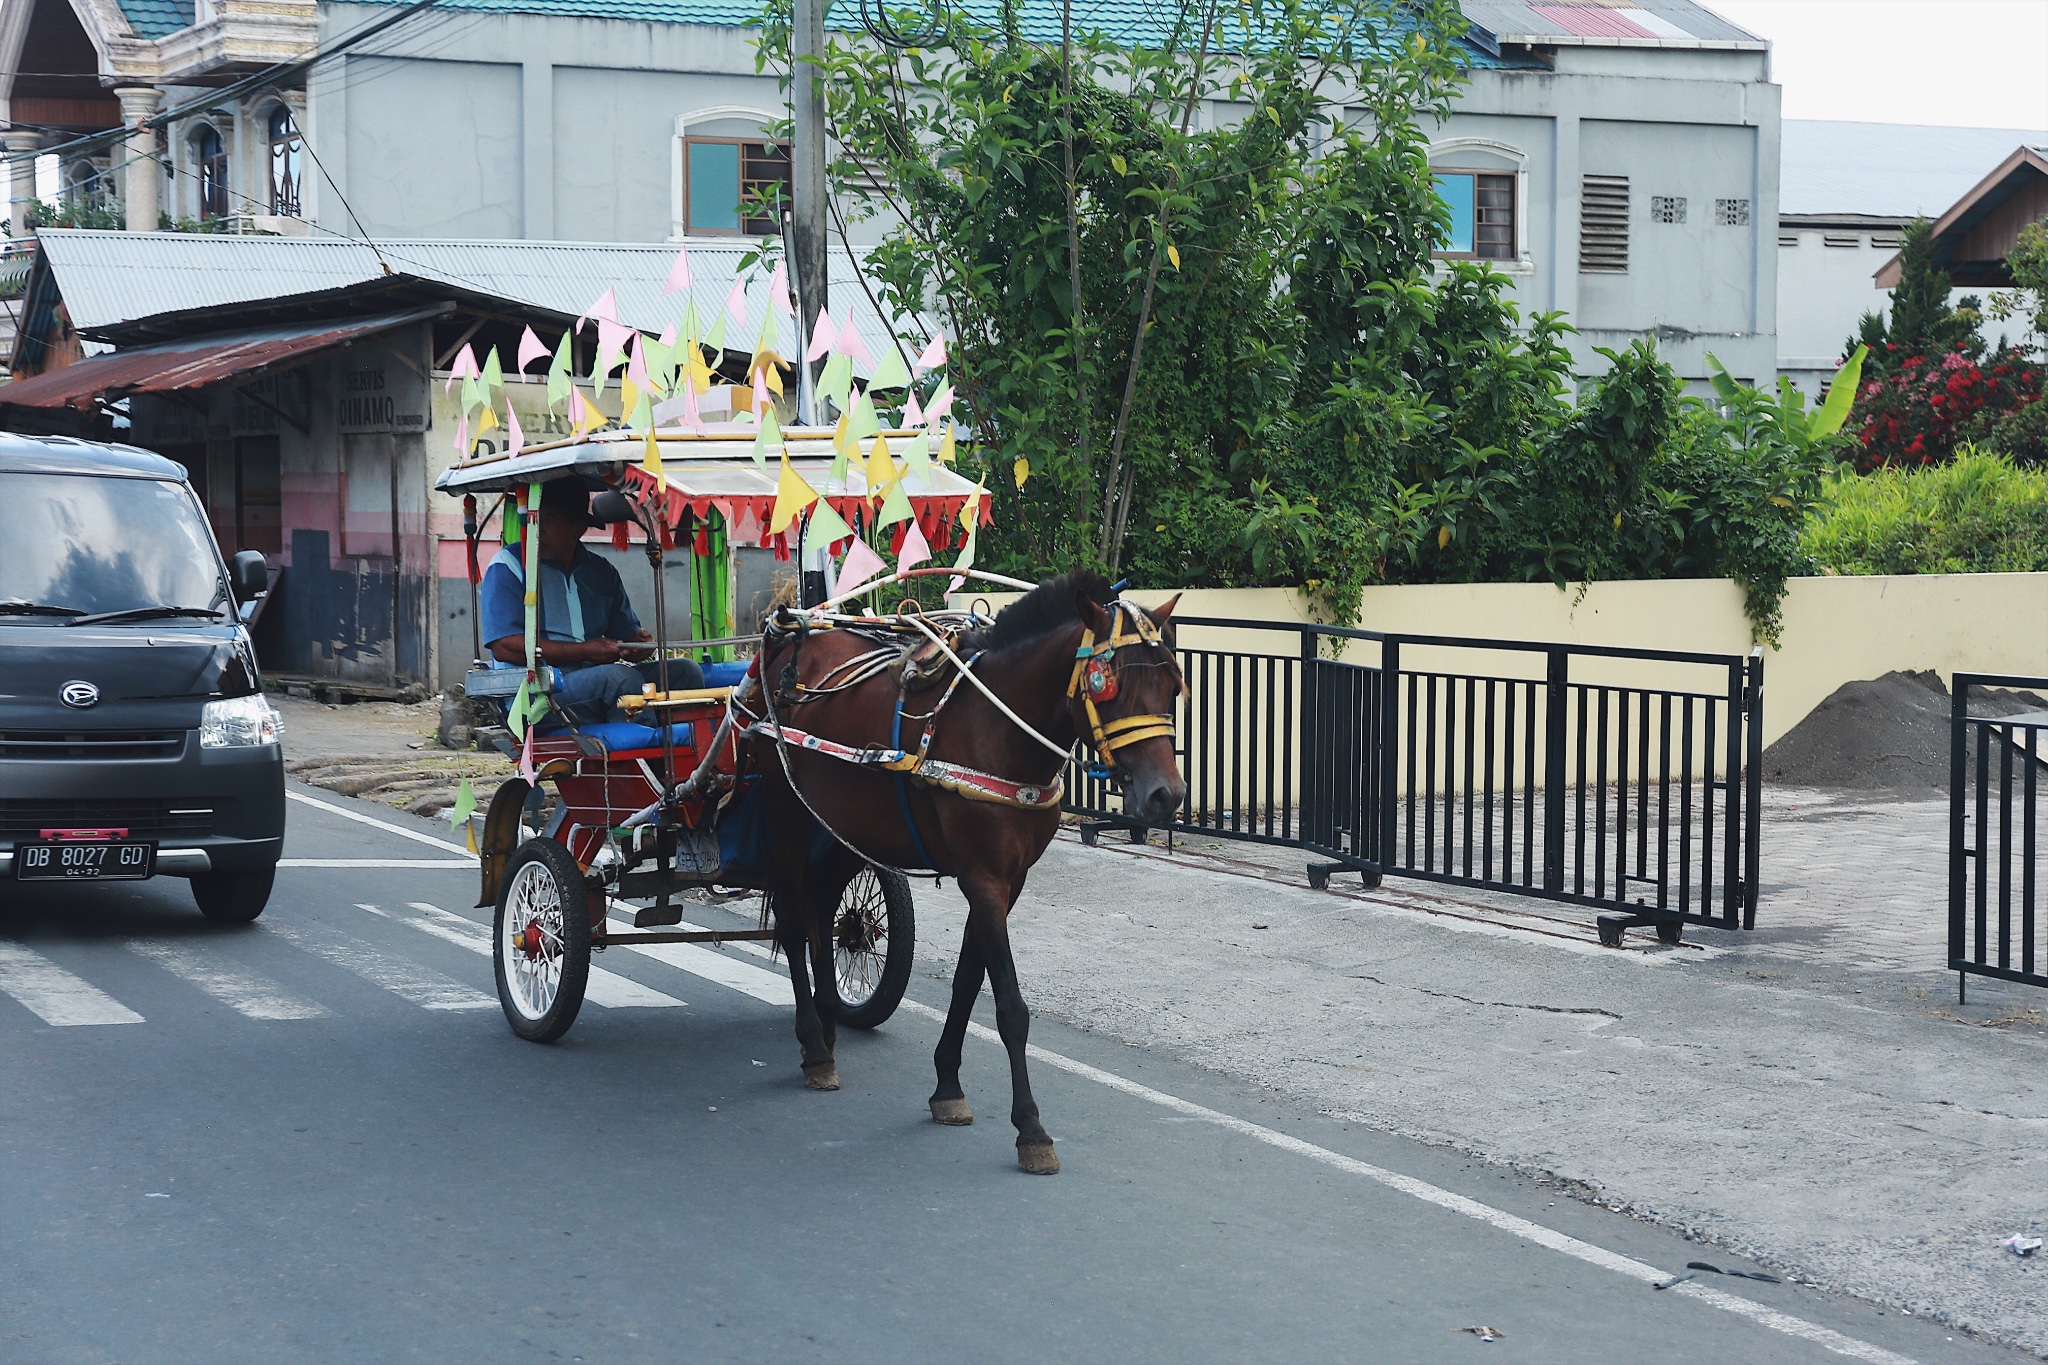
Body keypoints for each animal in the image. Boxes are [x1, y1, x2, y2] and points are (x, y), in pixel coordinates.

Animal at [745, 564, 1187, 1178]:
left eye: (1172, 684)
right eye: (1110, 685)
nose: (1165, 795)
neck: (999, 727)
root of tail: (787, 639)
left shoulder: (1008, 880)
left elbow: (967, 982)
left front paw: (947, 1086)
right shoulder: (983, 878)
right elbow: (1009, 1007)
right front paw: (1030, 1128)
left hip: (846, 822)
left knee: (823, 903)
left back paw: (830, 1028)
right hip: (786, 808)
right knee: (791, 916)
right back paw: (813, 1042)